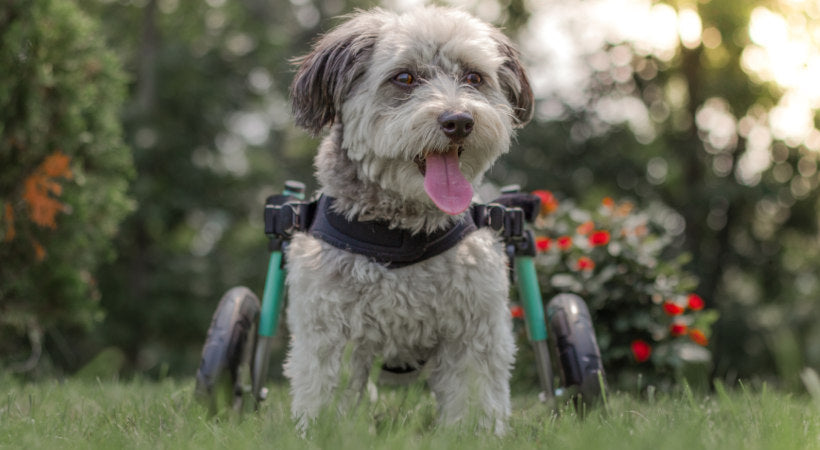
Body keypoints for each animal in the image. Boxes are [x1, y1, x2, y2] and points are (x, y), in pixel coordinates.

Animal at [286, 5, 536, 434]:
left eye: (474, 77)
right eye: (404, 78)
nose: (459, 121)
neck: (401, 231)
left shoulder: (474, 327)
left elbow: (474, 396)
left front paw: (473, 435)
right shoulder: (329, 332)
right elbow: (326, 393)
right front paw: (324, 433)